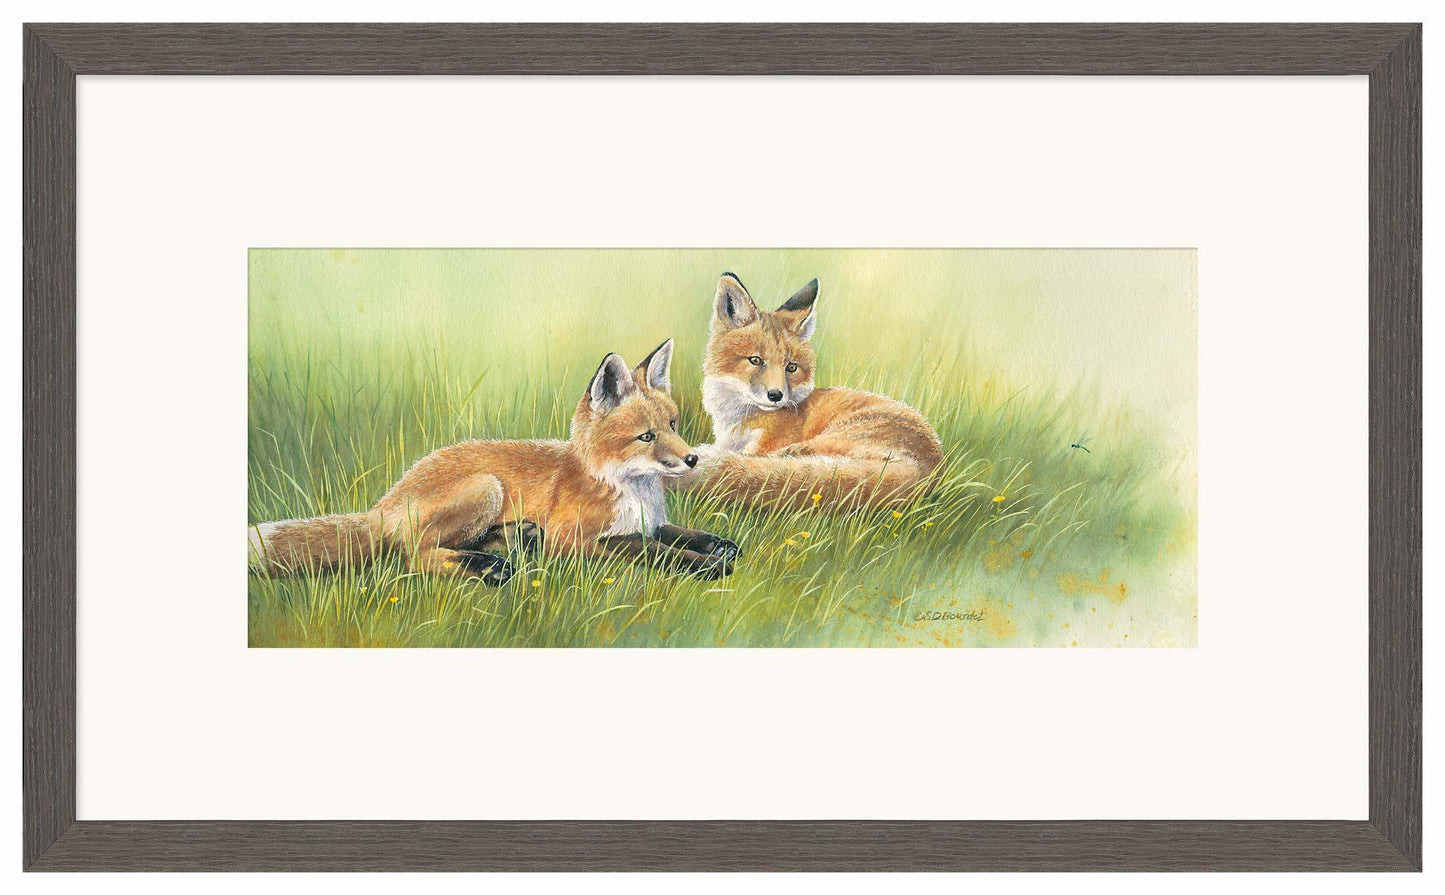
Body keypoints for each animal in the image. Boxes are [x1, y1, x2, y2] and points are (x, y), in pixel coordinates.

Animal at [249, 339, 740, 585]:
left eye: (673, 424)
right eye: (646, 437)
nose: (692, 459)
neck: (628, 489)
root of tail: (385, 501)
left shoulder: (649, 522)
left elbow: (676, 534)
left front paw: (717, 544)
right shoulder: (576, 539)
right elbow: (650, 549)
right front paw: (708, 565)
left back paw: (512, 542)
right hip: (486, 486)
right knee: (411, 557)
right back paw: (488, 568)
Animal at [680, 272, 943, 511]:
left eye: (791, 367)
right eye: (755, 360)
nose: (776, 396)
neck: (738, 421)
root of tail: (925, 471)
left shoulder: (763, 446)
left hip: (827, 439)